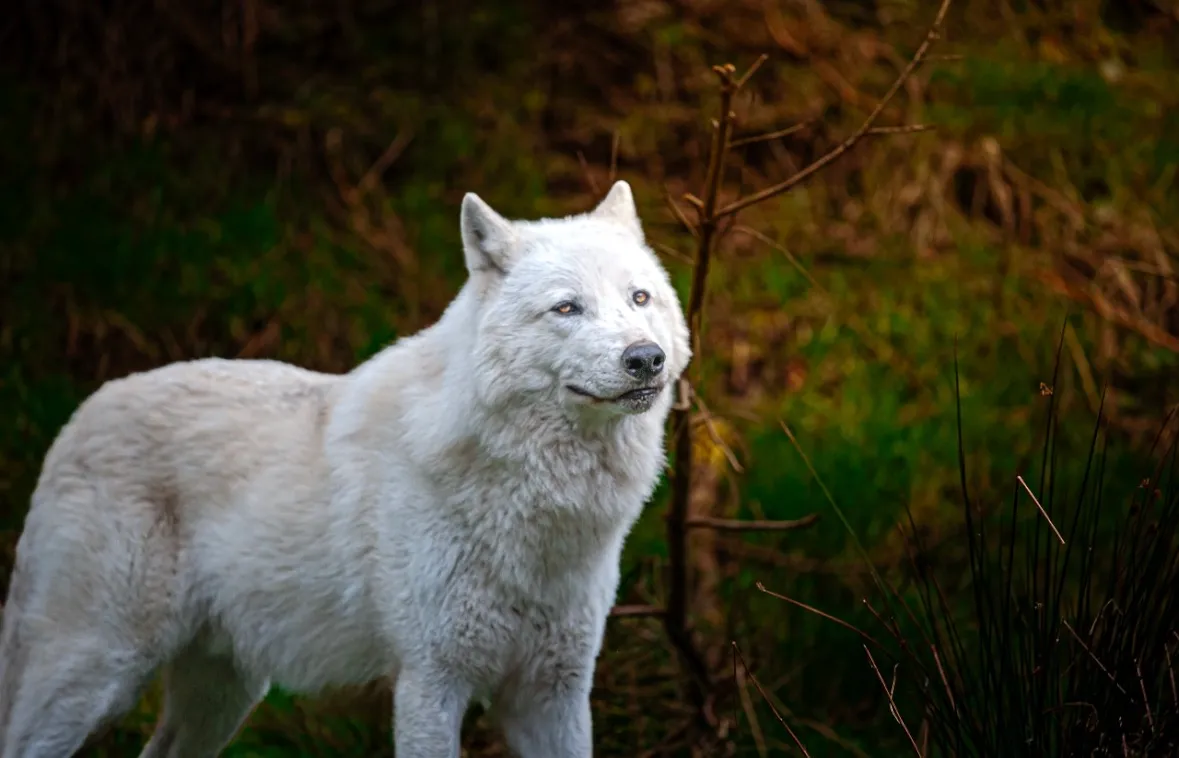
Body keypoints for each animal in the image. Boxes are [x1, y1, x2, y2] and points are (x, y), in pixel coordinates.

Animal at [0, 180, 689, 757]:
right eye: (567, 308)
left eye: (639, 298)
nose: (646, 358)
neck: (539, 505)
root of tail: (76, 420)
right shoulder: (431, 682)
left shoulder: (554, 693)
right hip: (95, 673)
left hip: (222, 695)